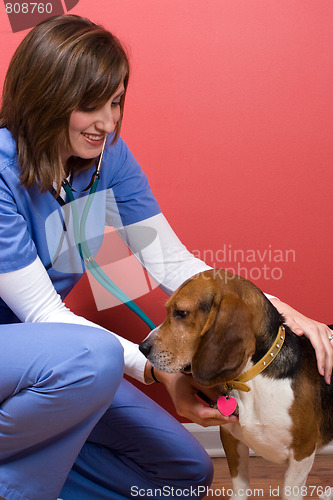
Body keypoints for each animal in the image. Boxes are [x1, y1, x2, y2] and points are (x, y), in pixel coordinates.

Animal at [139, 272, 332, 498]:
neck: (254, 378)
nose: (142, 348)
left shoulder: (302, 452)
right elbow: (241, 486)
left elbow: (289, 491)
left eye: (181, 313)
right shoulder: (231, 438)